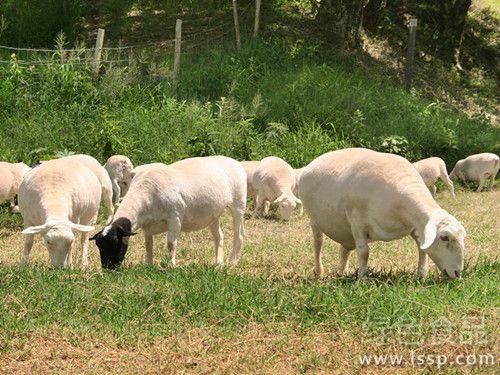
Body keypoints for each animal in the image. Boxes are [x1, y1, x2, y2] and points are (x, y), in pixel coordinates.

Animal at [91, 156, 247, 270]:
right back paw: (218, 264)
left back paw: (232, 262)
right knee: (219, 237)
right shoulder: (147, 226)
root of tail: (234, 161)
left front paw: (172, 266)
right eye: (99, 246)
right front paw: (148, 265)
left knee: (238, 236)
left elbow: (171, 244)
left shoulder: (175, 217)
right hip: (213, 214)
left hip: (238, 205)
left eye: (115, 243)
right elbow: (148, 245)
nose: (108, 269)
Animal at [298, 148, 466, 280]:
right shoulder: (357, 223)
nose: (458, 273)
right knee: (318, 243)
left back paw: (342, 272)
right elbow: (364, 253)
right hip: (315, 220)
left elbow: (421, 246)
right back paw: (319, 271)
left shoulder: (414, 226)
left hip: (345, 230)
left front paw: (421, 275)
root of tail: (315, 161)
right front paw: (362, 279)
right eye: (444, 237)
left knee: (344, 249)